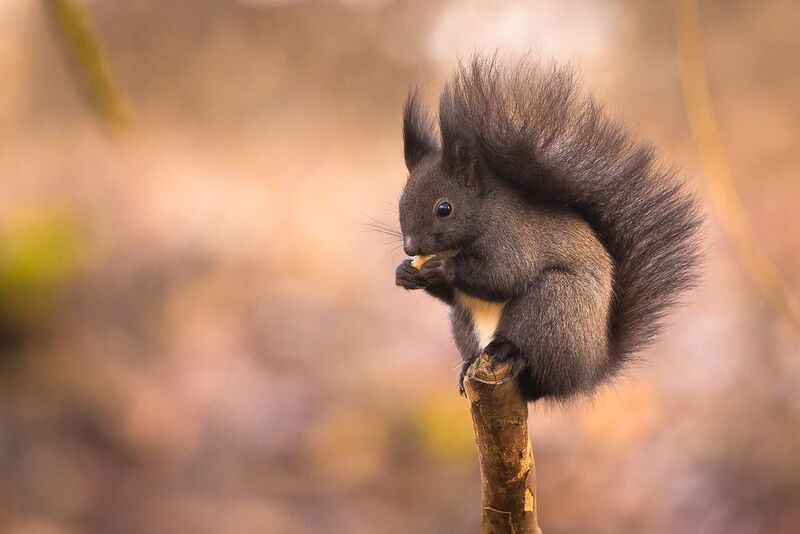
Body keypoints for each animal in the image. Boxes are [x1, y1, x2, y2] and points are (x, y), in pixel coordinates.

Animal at [394, 57, 702, 402]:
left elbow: (504, 274)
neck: (481, 217)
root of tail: (590, 369)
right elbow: (453, 294)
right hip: (465, 322)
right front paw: (404, 273)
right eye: (401, 201)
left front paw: (443, 268)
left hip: (552, 306)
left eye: (444, 208)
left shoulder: (512, 237)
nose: (410, 247)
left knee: (536, 370)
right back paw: (467, 367)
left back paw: (508, 353)